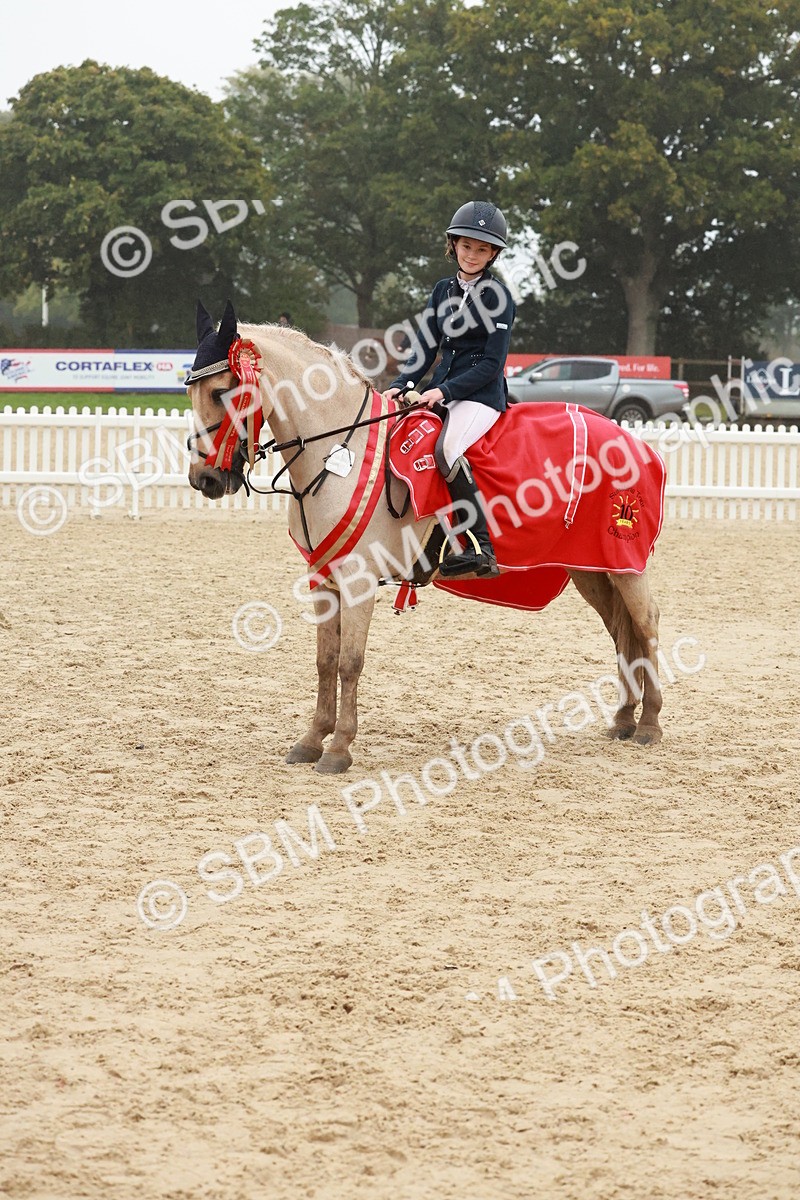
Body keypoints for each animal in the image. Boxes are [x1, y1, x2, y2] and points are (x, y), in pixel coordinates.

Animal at [187, 315, 664, 775]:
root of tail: (636, 442)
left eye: (223, 391)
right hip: (591, 570)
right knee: (621, 631)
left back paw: (649, 724)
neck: (339, 451)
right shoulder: (322, 578)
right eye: (192, 391)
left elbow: (349, 662)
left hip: (626, 565)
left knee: (645, 625)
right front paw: (311, 739)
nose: (204, 479)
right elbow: (325, 660)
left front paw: (339, 748)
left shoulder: (358, 581)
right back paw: (624, 718)